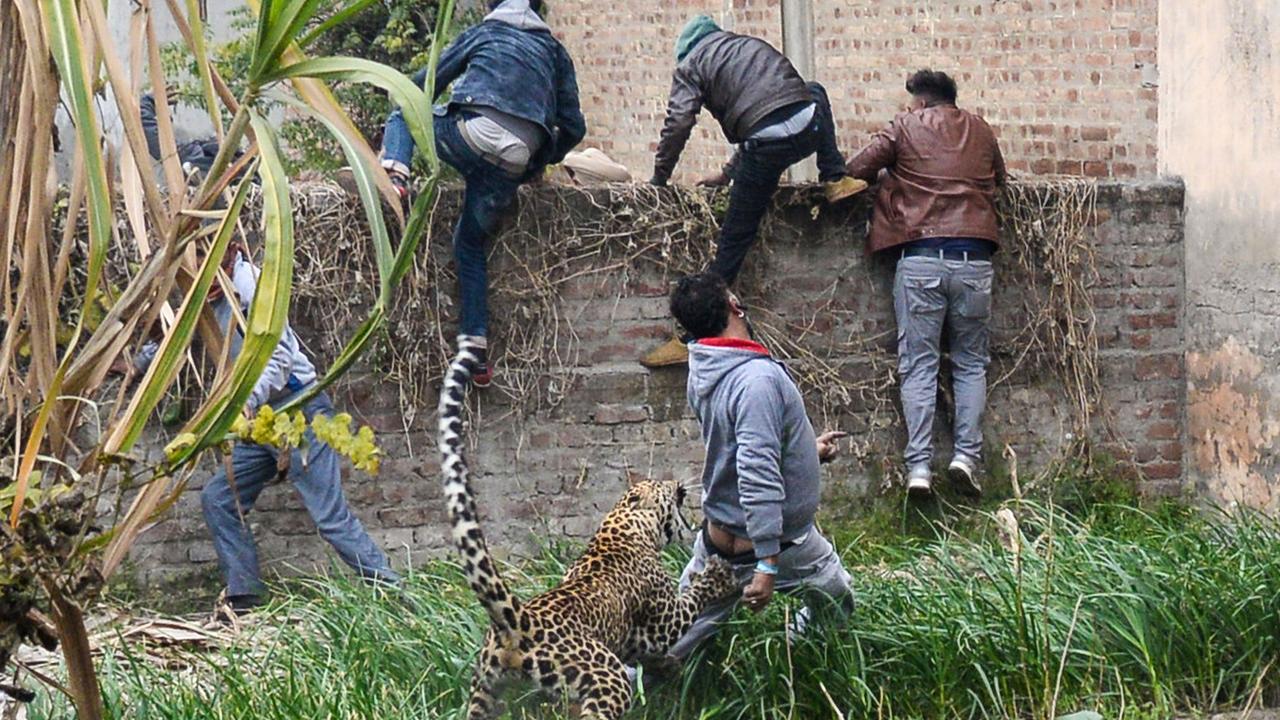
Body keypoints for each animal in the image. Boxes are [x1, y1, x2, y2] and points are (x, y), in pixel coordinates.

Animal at [440, 340, 742, 717]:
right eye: (661, 484)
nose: (677, 483)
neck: (623, 524)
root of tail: (519, 621)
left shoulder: (632, 639)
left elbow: (647, 654)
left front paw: (668, 666)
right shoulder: (663, 617)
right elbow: (689, 600)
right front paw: (717, 578)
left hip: (484, 692)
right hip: (606, 679)